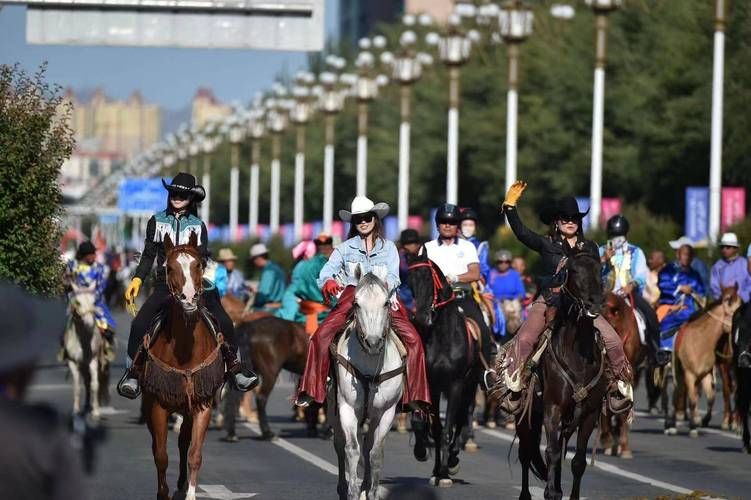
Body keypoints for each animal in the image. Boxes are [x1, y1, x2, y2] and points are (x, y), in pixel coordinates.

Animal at [64, 284, 105, 420]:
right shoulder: (73, 362)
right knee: (85, 382)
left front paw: (96, 412)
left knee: (89, 382)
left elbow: (95, 384)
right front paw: (75, 411)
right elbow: (77, 387)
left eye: (94, 302)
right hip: (81, 365)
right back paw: (85, 407)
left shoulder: (93, 360)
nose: (89, 324)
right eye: (78, 302)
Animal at [140, 233, 225, 500]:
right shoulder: (157, 406)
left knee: (183, 442)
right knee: (158, 446)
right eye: (169, 267)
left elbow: (194, 454)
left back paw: (180, 485)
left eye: (198, 264)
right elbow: (160, 456)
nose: (189, 299)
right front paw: (162, 493)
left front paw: (188, 493)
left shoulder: (202, 405)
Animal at [334, 270, 406, 500]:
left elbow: (375, 453)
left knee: (367, 447)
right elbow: (351, 449)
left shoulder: (386, 412)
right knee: (340, 444)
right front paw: (352, 491)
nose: (373, 343)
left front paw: (371, 491)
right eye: (356, 303)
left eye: (386, 303)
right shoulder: (347, 408)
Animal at [516, 254, 612, 500]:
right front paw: (550, 492)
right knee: (526, 452)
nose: (594, 303)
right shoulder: (553, 408)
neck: (578, 356)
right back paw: (527, 494)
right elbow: (551, 452)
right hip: (526, 416)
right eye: (574, 270)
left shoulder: (589, 414)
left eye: (599, 269)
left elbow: (577, 461)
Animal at [672, 286, 744, 438]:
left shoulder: (706, 373)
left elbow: (711, 397)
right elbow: (693, 400)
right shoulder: (690, 373)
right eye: (735, 314)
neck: (700, 343)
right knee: (678, 392)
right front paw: (694, 426)